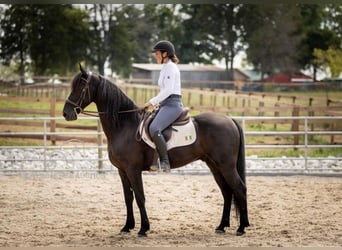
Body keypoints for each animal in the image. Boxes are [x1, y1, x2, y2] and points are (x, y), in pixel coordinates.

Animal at [62, 66, 248, 236]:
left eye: (81, 86)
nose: (66, 113)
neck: (125, 125)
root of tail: (230, 120)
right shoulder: (122, 171)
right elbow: (128, 198)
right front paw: (127, 226)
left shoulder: (133, 170)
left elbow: (140, 197)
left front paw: (143, 228)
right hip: (215, 165)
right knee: (227, 192)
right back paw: (222, 226)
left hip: (226, 166)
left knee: (239, 188)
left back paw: (242, 227)